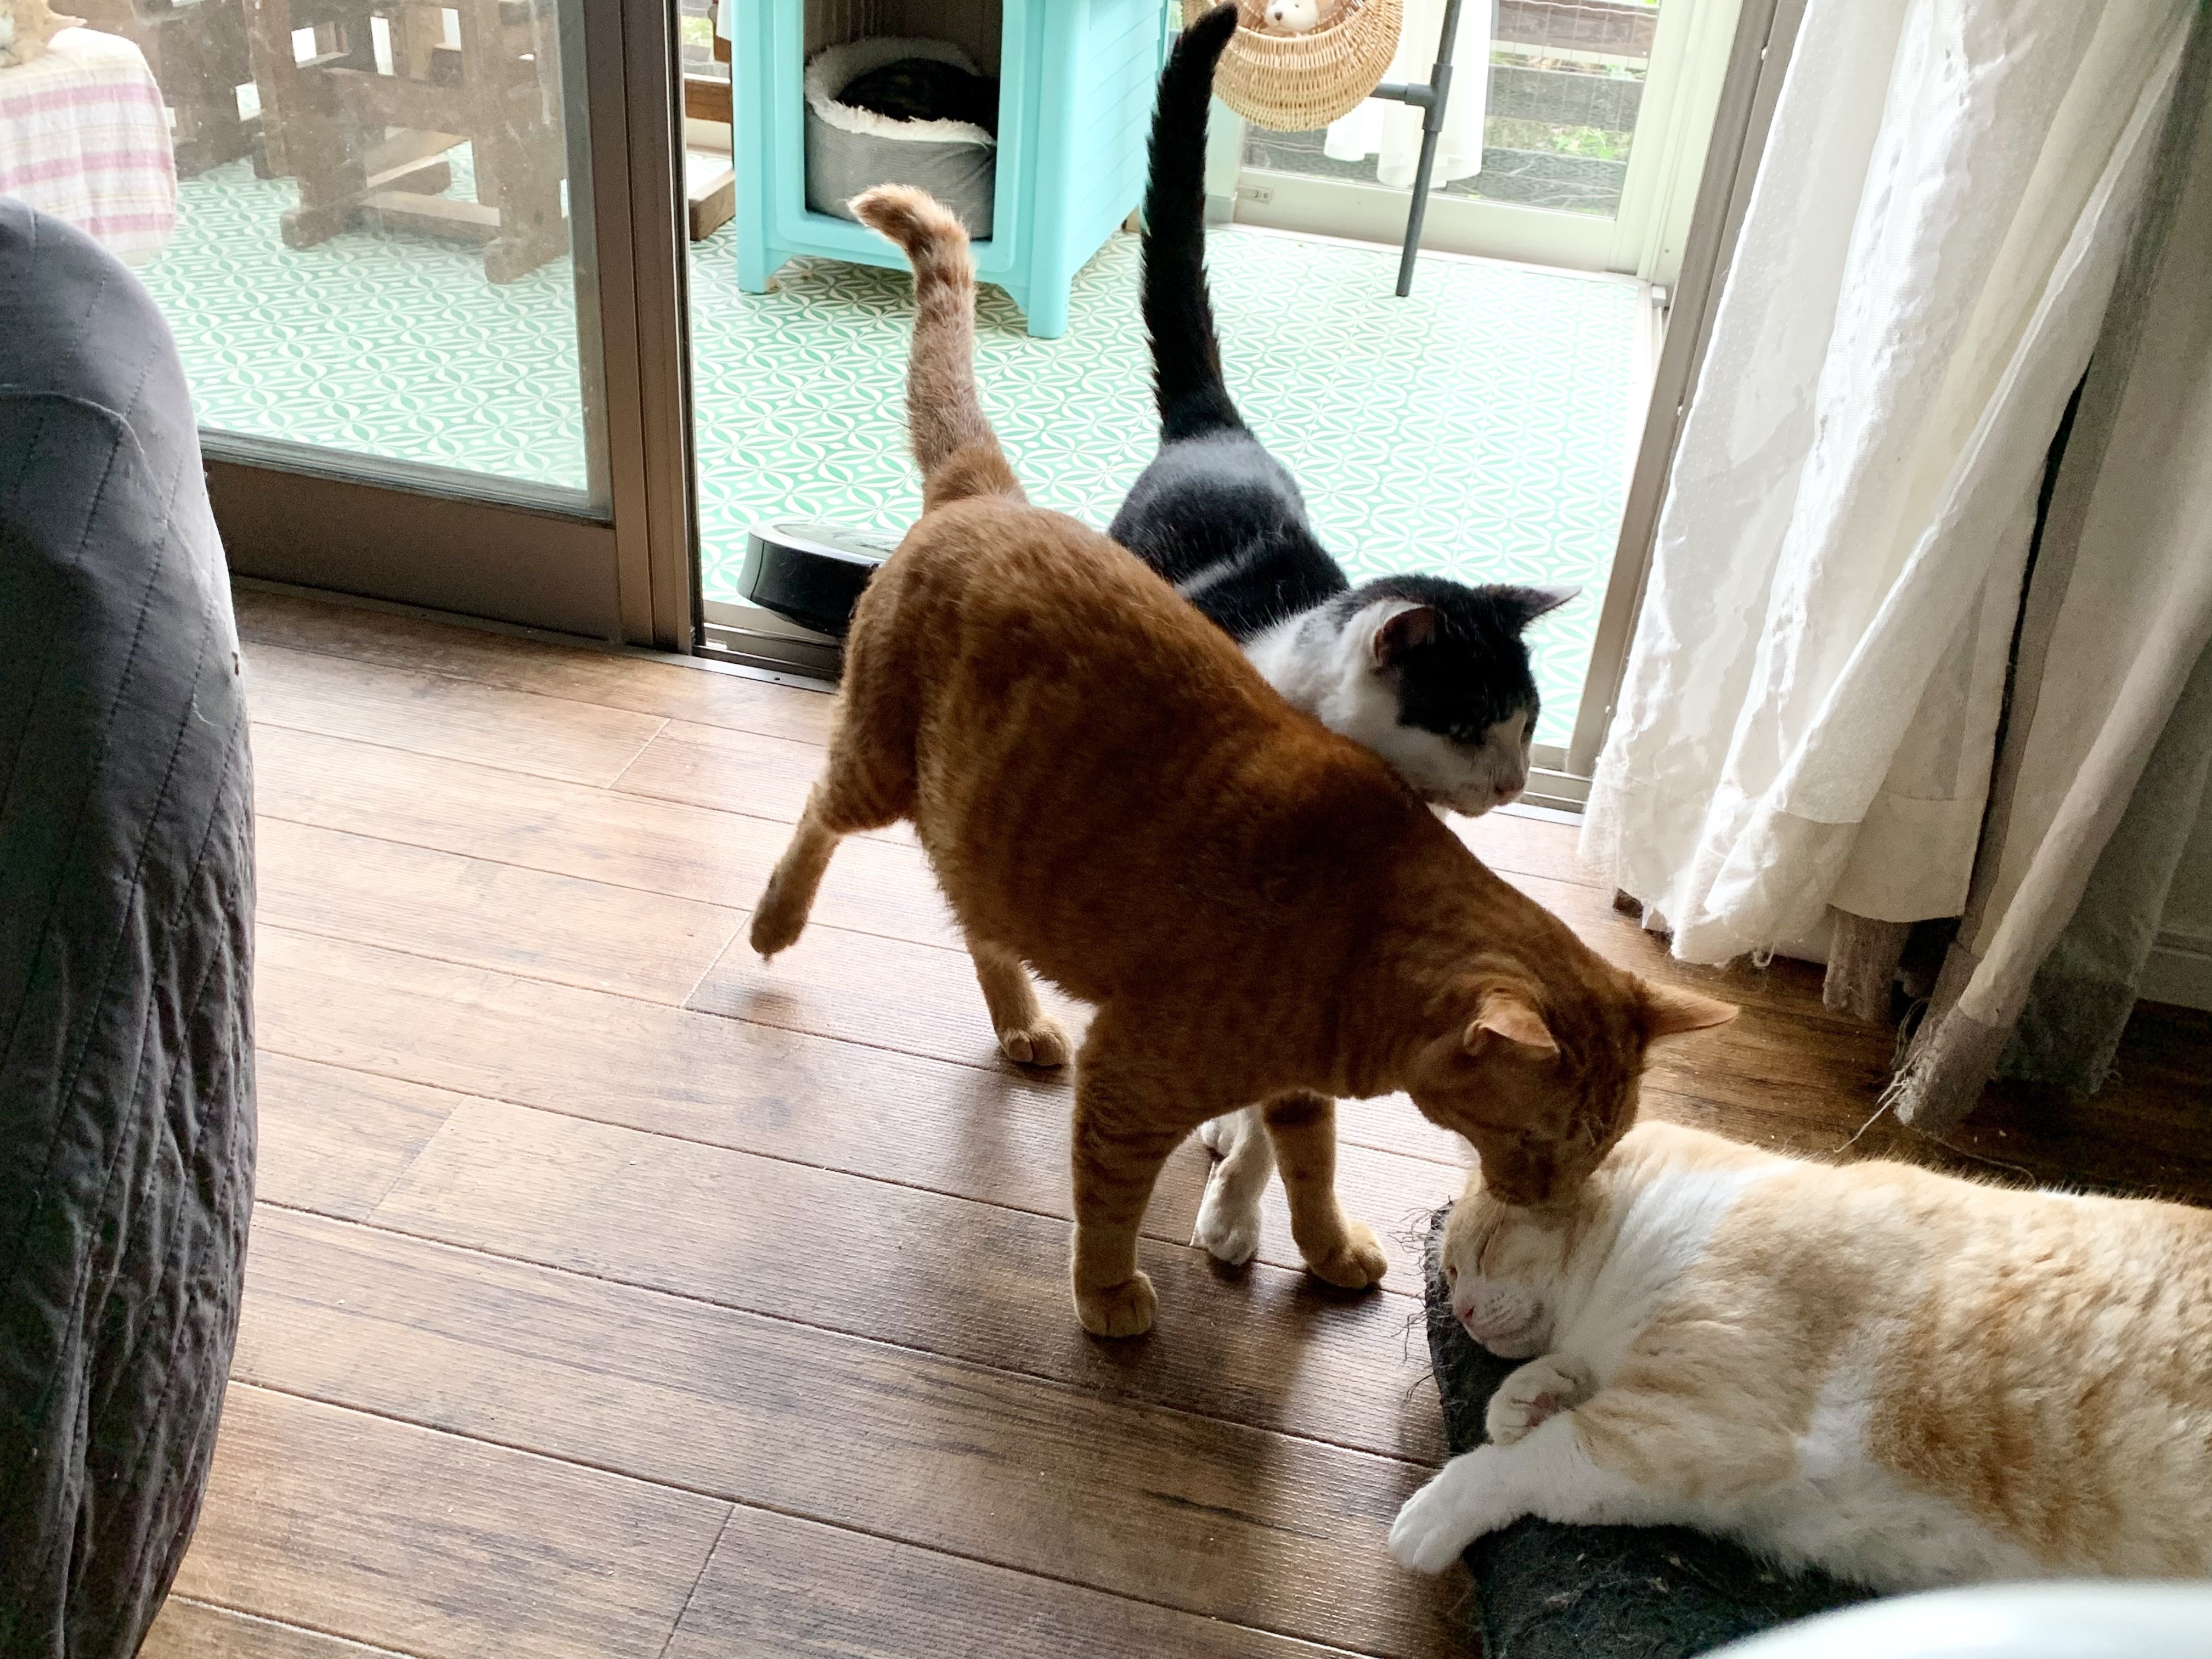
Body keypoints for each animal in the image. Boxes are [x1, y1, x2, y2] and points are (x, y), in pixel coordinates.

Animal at [747, 182, 1737, 1340]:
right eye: (1548, 1142)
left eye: (1600, 1145)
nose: (1551, 1197)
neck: (1357, 932)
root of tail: (986, 492)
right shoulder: (1132, 1075)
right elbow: (1113, 1191)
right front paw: (1110, 1293)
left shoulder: (1300, 1090)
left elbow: (1306, 1165)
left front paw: (1325, 1245)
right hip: (877, 765)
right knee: (817, 812)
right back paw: (774, 920)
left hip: (984, 830)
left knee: (977, 919)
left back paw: (1022, 1019)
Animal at [1392, 1119, 2212, 1587]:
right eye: (1451, 1275)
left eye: (1474, 1255)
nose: (1461, 1312)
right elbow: (1552, 1399)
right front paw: (1527, 1395)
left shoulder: (1689, 1430)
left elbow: (1529, 1464)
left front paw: (1441, 1506)